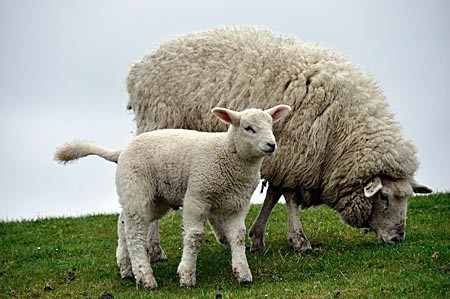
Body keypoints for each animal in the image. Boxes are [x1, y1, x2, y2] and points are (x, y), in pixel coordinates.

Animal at [54, 104, 292, 290]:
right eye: (248, 128)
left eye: (271, 126)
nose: (271, 145)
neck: (227, 155)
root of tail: (121, 151)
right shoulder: (196, 196)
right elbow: (195, 236)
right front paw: (187, 275)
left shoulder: (238, 204)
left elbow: (239, 236)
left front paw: (242, 272)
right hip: (137, 187)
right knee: (135, 232)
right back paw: (145, 277)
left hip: (151, 198)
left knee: (123, 222)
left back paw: (126, 268)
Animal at [124, 25, 432, 253]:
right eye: (383, 196)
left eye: (407, 197)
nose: (398, 239)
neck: (342, 127)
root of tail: (139, 67)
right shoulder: (297, 152)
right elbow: (290, 197)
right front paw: (299, 240)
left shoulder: (283, 156)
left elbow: (273, 194)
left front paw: (257, 237)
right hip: (160, 130)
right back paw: (155, 249)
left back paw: (219, 236)